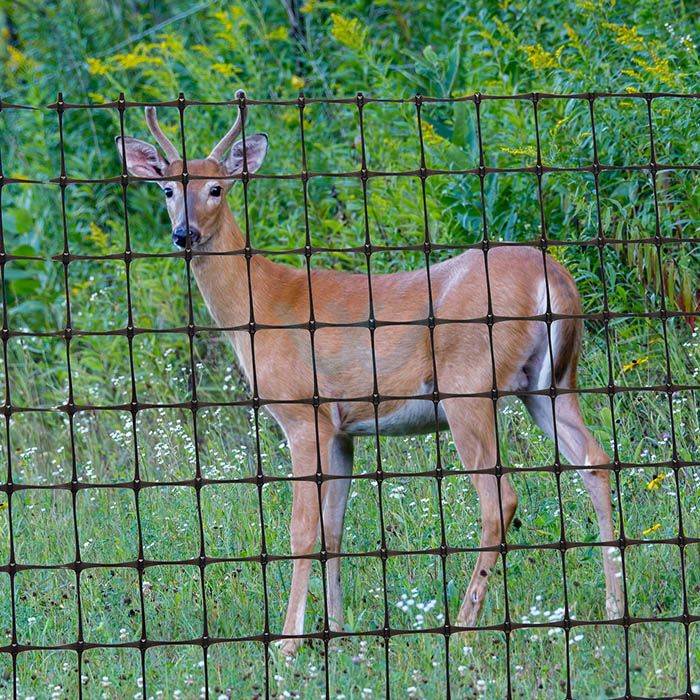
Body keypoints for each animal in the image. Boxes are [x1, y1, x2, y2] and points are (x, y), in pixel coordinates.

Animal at [116, 93, 623, 656]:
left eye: (215, 188)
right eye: (167, 188)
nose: (185, 234)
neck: (259, 304)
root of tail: (552, 276)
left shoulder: (304, 415)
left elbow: (302, 531)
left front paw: (287, 644)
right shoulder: (342, 430)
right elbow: (334, 528)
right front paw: (337, 632)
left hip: (469, 386)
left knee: (501, 499)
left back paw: (465, 624)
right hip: (551, 383)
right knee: (595, 461)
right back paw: (613, 608)